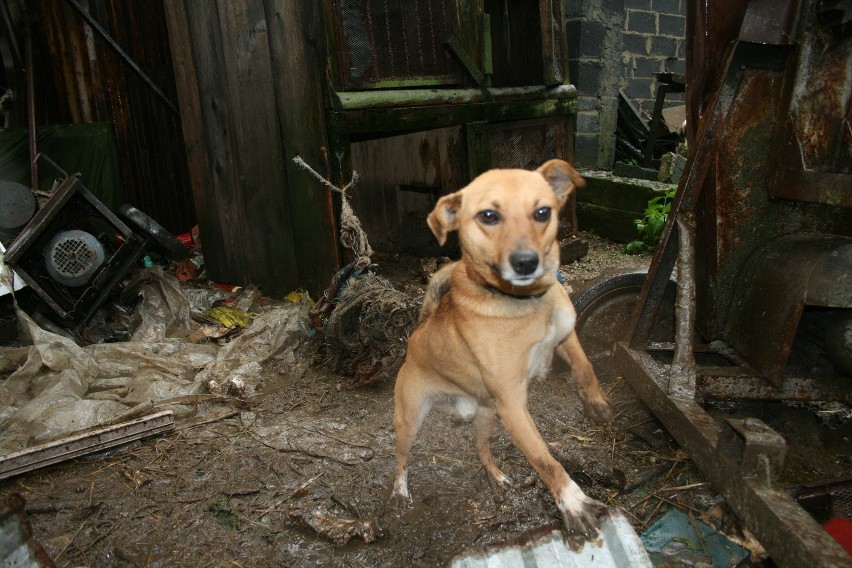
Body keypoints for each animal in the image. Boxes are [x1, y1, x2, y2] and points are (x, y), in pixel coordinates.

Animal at [390, 159, 616, 536]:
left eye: (542, 212)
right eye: (488, 216)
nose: (526, 262)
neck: (527, 303)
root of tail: (419, 328)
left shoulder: (566, 335)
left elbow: (585, 366)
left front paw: (595, 403)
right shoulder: (513, 406)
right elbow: (546, 460)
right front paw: (574, 503)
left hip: (486, 415)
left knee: (480, 448)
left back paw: (497, 477)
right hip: (410, 421)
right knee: (401, 458)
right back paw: (399, 491)